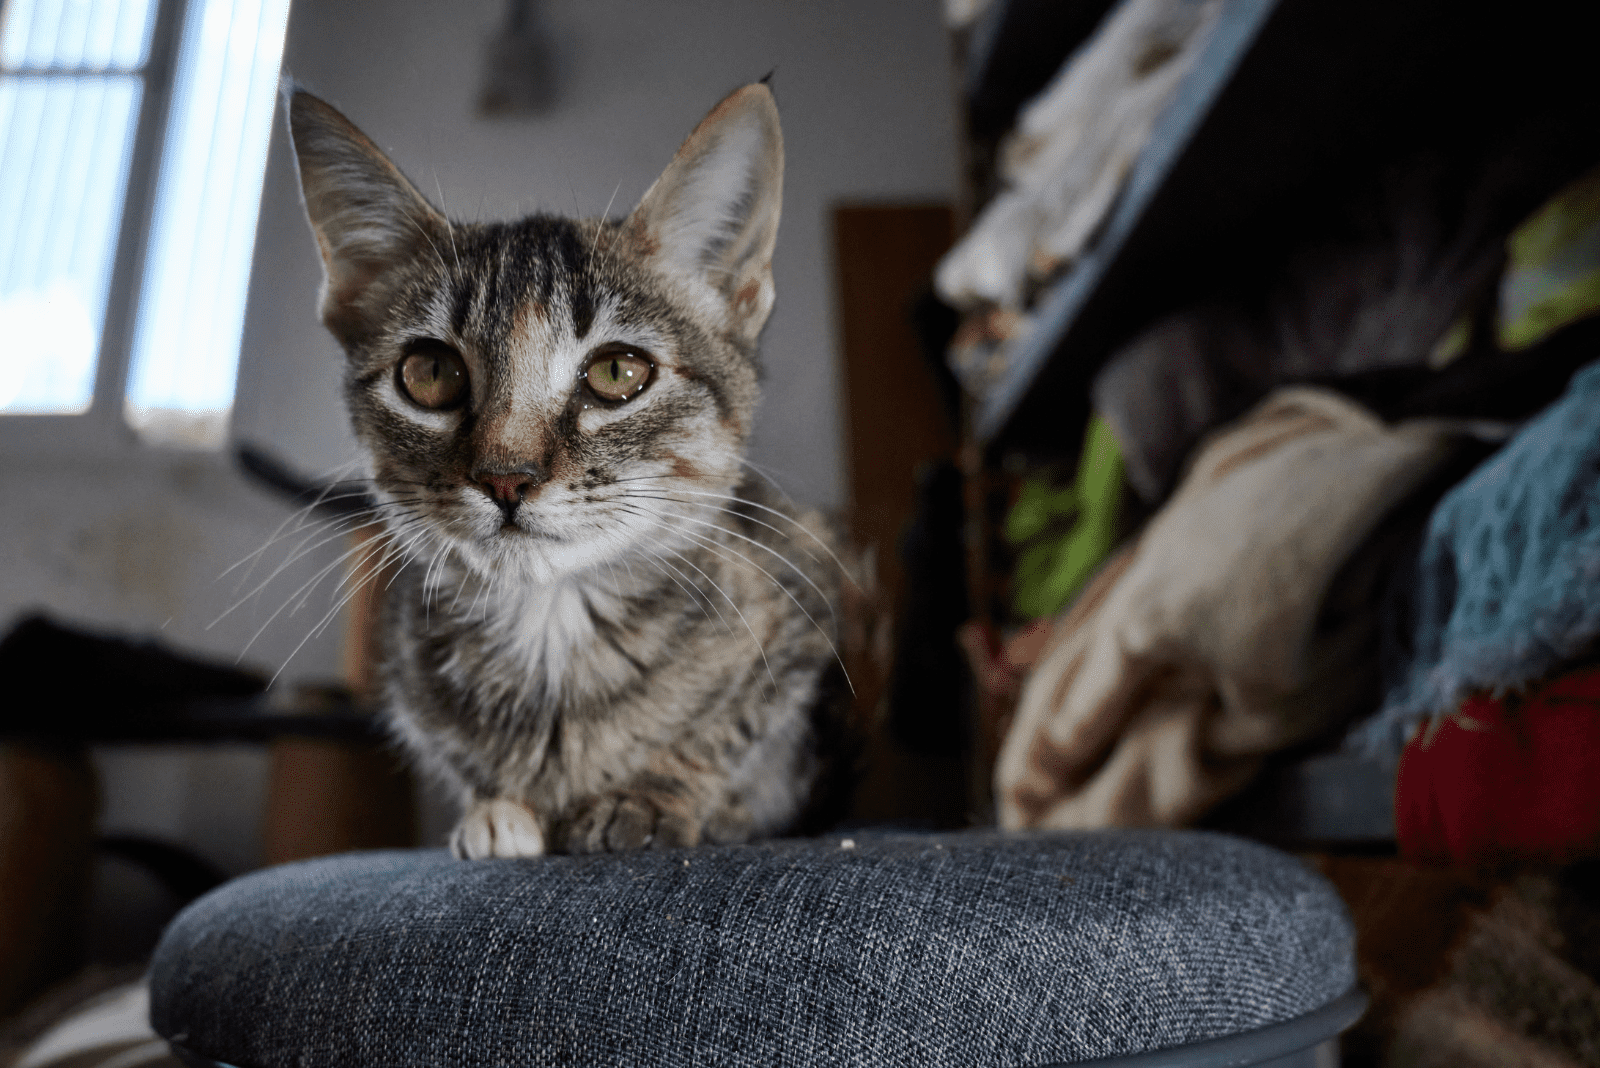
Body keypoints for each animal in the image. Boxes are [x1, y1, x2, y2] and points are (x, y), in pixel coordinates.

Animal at [288, 79, 864, 856]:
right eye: (430, 373)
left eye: (618, 372)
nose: (506, 476)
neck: (552, 625)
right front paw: (496, 805)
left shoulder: (810, 593)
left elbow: (731, 729)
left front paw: (655, 795)